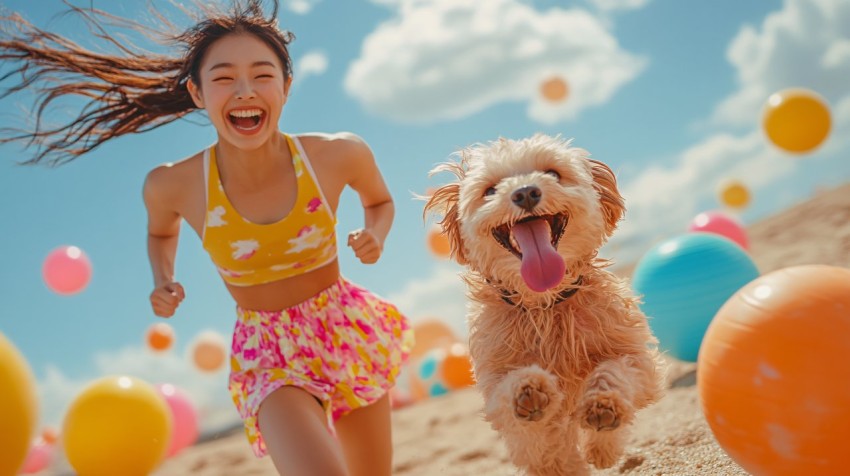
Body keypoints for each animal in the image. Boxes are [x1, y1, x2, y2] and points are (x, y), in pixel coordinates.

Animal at [420, 134, 664, 476]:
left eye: (552, 173)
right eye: (491, 189)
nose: (525, 192)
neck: (544, 304)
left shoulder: (635, 356)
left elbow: (615, 371)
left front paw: (605, 404)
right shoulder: (495, 383)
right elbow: (520, 411)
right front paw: (529, 391)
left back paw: (602, 447)